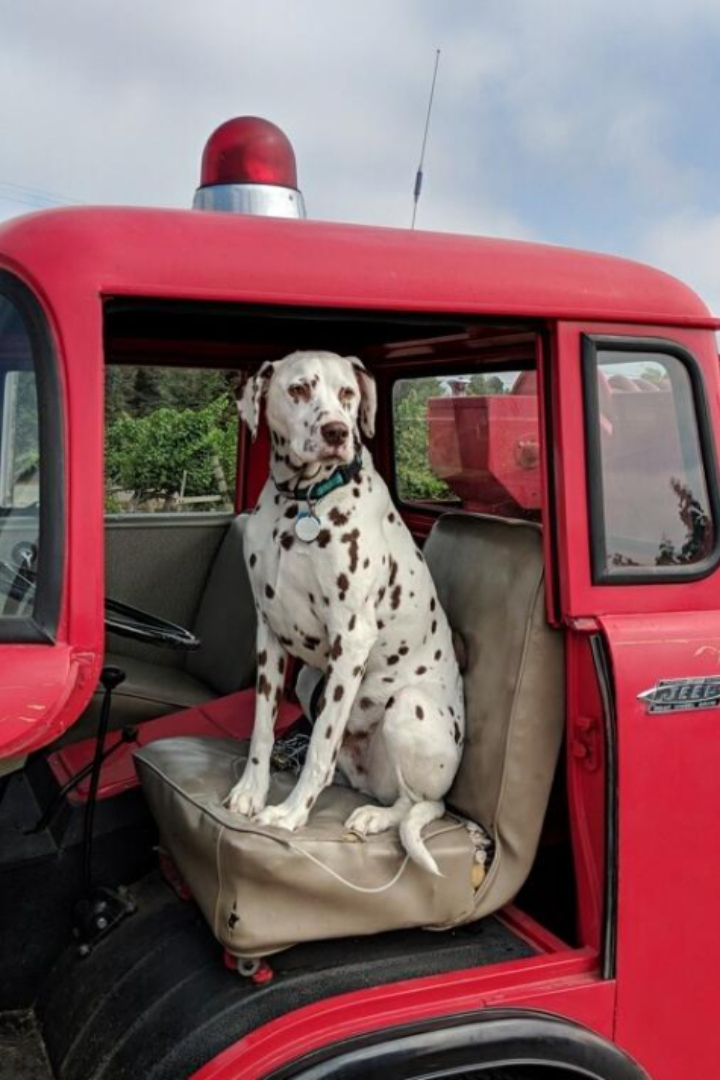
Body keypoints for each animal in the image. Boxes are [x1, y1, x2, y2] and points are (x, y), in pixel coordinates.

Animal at [227, 349, 470, 872]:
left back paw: (375, 816)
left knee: (417, 804)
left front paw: (291, 813)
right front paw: (252, 792)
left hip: (409, 707)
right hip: (307, 679)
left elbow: (322, 741)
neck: (302, 504)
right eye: (299, 389)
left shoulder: (352, 639)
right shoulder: (269, 635)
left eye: (347, 394)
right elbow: (262, 729)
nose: (337, 431)